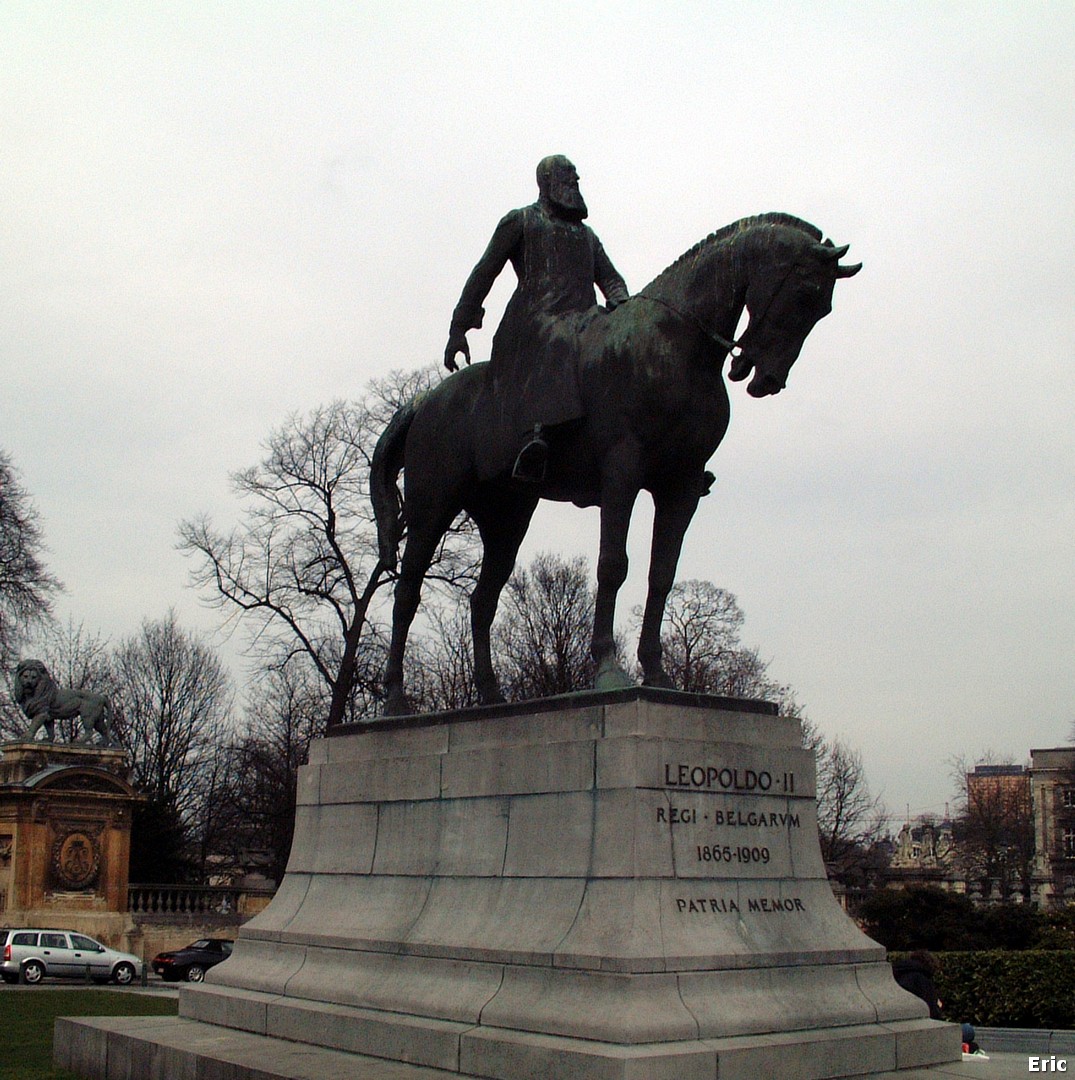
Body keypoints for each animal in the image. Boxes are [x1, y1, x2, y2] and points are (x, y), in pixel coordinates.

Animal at [373, 210, 860, 717]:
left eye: (822, 309)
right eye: (804, 294)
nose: (768, 379)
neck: (678, 346)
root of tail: (425, 400)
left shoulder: (681, 484)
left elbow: (661, 574)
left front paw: (658, 673)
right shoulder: (622, 471)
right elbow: (613, 564)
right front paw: (608, 666)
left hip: (506, 517)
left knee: (482, 600)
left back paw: (490, 696)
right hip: (433, 507)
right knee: (407, 593)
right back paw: (396, 699)